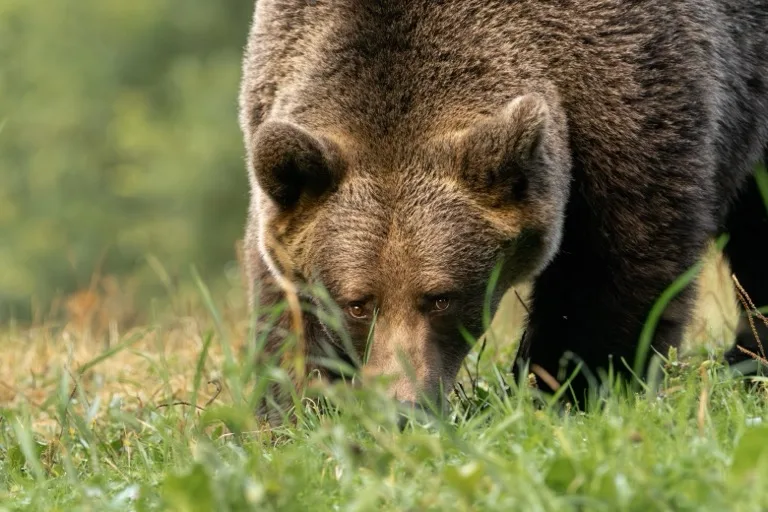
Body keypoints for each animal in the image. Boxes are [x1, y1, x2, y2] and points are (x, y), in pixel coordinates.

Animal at [238, 0, 768, 419]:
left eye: (441, 297)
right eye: (358, 303)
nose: (404, 408)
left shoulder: (632, 90)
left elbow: (616, 266)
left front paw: (566, 389)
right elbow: (284, 305)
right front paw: (298, 407)